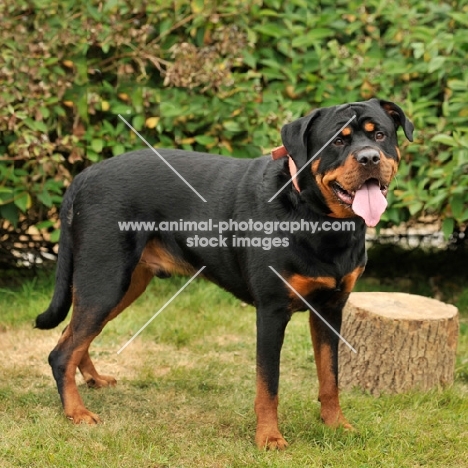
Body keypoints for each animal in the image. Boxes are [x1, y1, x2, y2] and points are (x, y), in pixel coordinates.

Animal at [38, 97, 414, 448]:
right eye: (337, 141)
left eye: (380, 135)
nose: (369, 158)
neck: (316, 217)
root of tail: (84, 176)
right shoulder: (272, 311)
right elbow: (268, 384)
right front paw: (269, 438)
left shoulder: (331, 308)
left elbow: (330, 377)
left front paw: (336, 425)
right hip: (106, 280)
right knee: (61, 351)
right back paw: (76, 412)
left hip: (123, 285)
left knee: (73, 335)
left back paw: (93, 380)